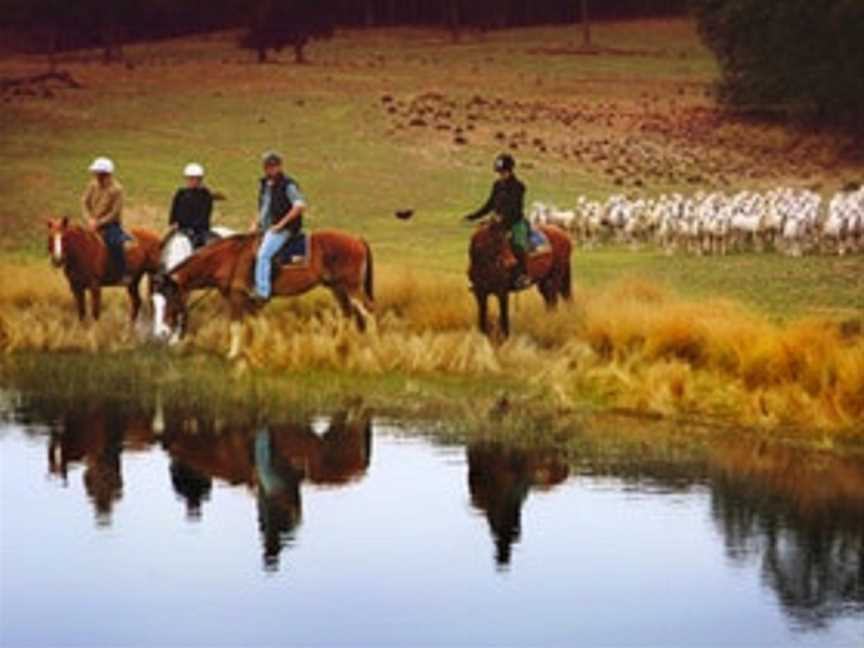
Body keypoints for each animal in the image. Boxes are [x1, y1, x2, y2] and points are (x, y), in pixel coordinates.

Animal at [153, 229, 374, 360]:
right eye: (155, 301)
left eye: (169, 297)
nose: (162, 333)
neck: (228, 258)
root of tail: (357, 239)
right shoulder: (251, 302)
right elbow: (259, 325)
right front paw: (263, 350)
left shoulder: (237, 298)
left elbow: (237, 326)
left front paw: (232, 354)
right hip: (337, 288)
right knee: (346, 313)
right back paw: (337, 345)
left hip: (352, 288)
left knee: (367, 311)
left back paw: (373, 344)